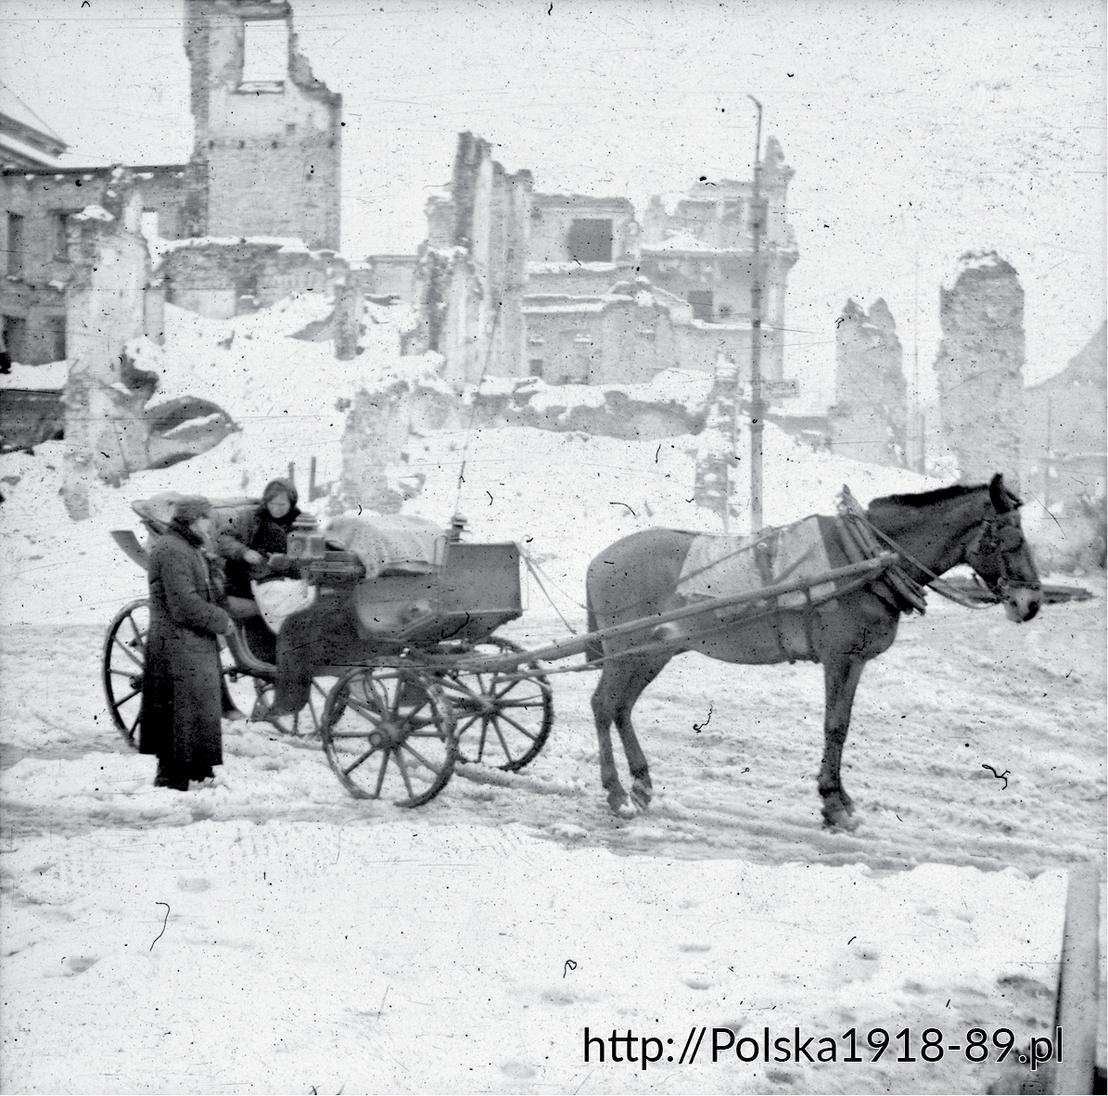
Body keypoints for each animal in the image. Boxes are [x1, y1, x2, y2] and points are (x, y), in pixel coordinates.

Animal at [585, 472, 1041, 828]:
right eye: (1012, 538)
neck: (867, 557)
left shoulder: (855, 661)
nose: (1032, 604)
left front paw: (839, 800)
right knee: (604, 705)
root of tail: (599, 560)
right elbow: (834, 725)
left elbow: (843, 725)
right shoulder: (838, 658)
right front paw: (833, 804)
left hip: (652, 653)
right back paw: (617, 793)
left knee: (622, 708)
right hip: (626, 651)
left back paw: (641, 784)